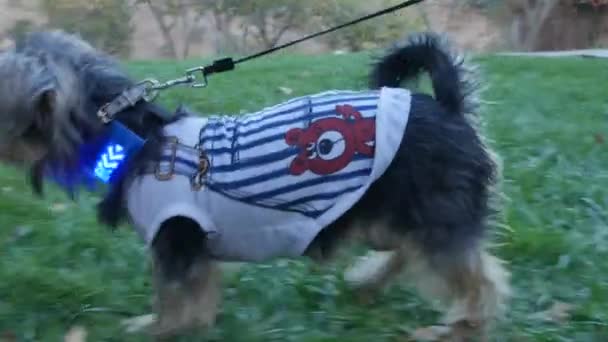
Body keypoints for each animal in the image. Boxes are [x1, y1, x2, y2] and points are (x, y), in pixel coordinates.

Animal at [1, 30, 508, 340]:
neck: (138, 138)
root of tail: (450, 109)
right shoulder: (196, 247)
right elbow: (196, 297)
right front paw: (188, 325)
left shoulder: (176, 239)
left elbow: (172, 298)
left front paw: (157, 328)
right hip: (383, 212)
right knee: (409, 251)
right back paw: (369, 281)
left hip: (433, 211)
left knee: (477, 277)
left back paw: (464, 323)